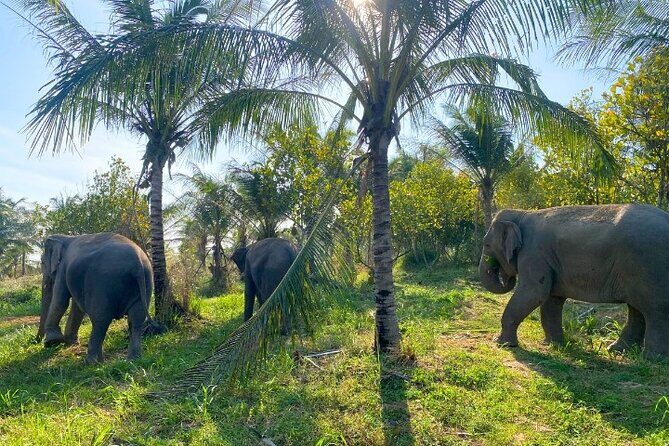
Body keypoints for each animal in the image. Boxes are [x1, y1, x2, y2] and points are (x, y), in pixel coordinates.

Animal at [38, 233, 155, 364]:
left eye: (42, 262)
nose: (39, 342)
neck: (65, 237)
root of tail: (137, 265)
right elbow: (77, 308)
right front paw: (69, 342)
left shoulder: (63, 268)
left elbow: (60, 301)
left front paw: (52, 341)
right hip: (146, 280)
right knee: (136, 320)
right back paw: (133, 360)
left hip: (102, 284)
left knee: (100, 320)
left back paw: (92, 362)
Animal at [479, 204, 669, 358]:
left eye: (486, 245)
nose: (506, 278)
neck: (522, 213)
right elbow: (551, 300)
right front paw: (554, 345)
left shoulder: (534, 253)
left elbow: (534, 293)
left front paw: (502, 343)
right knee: (637, 310)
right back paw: (616, 350)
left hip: (650, 267)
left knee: (655, 311)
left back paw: (652, 359)